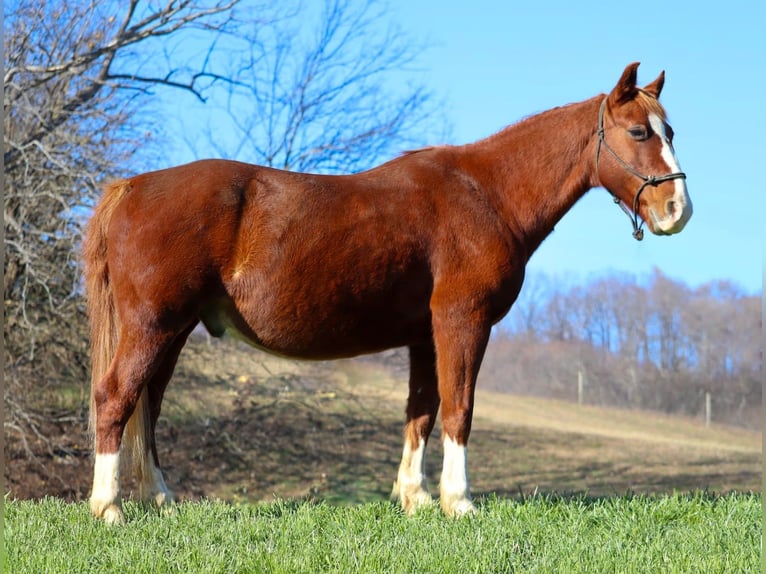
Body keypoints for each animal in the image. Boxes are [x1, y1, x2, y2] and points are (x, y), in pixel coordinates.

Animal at [83, 62, 691, 524]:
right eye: (639, 133)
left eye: (671, 132)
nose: (677, 211)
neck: (485, 194)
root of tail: (131, 187)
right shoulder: (462, 321)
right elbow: (459, 407)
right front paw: (458, 502)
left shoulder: (425, 336)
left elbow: (420, 411)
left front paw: (414, 498)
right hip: (154, 325)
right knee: (115, 398)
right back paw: (109, 507)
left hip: (173, 330)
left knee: (148, 405)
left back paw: (160, 500)